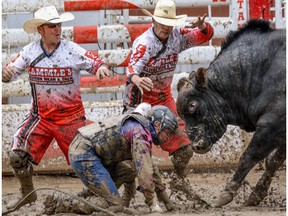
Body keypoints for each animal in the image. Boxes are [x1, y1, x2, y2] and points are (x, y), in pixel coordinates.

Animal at [176, 19, 286, 207]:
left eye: (192, 105)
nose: (196, 145)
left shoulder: (273, 123)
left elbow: (249, 156)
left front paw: (227, 192)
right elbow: (274, 161)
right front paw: (256, 194)